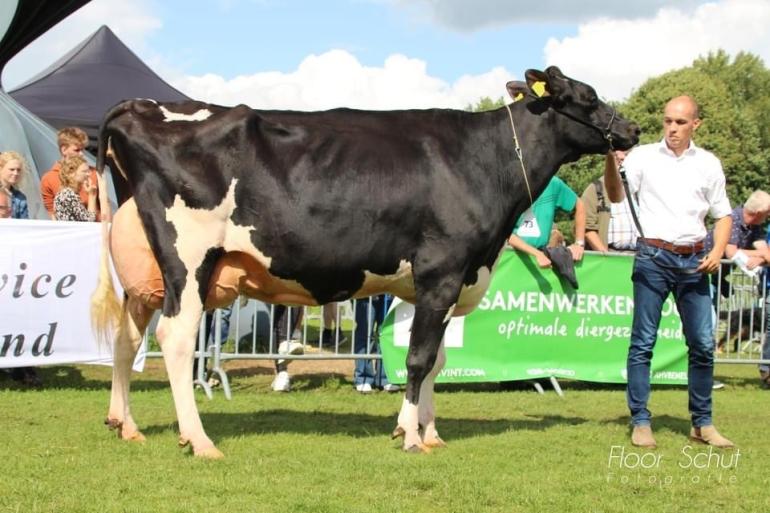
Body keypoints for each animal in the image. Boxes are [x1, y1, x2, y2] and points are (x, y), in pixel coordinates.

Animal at [93, 67, 640, 456]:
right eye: (587, 97)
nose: (633, 127)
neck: (485, 162)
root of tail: (140, 106)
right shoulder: (442, 270)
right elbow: (419, 358)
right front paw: (410, 435)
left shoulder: (445, 282)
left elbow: (439, 359)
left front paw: (430, 430)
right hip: (188, 259)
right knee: (176, 337)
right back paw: (199, 439)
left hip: (147, 271)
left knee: (128, 338)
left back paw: (125, 425)